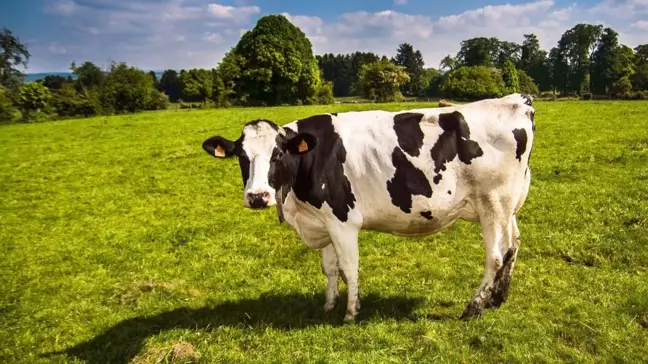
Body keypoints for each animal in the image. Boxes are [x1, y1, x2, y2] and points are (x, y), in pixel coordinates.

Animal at [202, 92, 536, 322]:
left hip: (492, 203)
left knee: (495, 256)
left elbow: (349, 267)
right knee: (513, 245)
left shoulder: (342, 220)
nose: (258, 196)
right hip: (507, 205)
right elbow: (330, 268)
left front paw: (351, 312)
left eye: (278, 154)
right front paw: (329, 305)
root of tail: (517, 100)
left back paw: (474, 306)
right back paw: (498, 297)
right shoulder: (323, 220)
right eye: (242, 156)